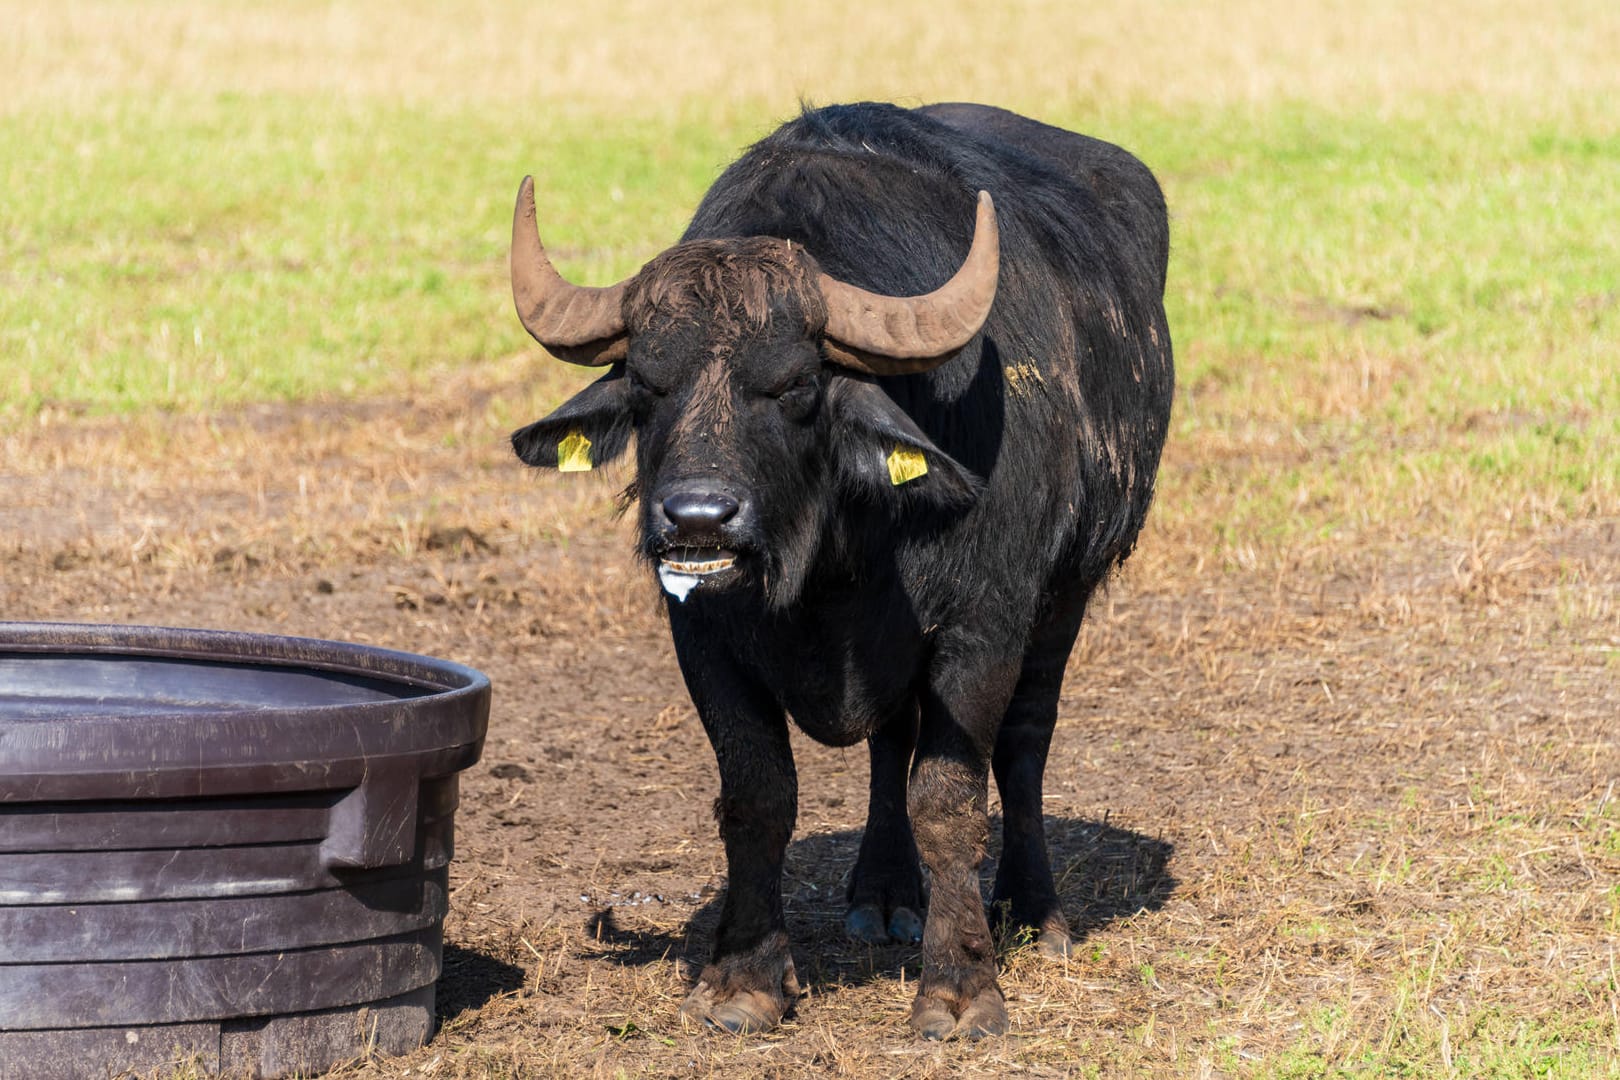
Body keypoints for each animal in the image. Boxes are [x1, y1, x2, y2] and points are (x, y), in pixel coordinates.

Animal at [505, 101, 1166, 1036]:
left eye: (794, 388)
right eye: (646, 387)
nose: (697, 519)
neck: (831, 567)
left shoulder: (982, 627)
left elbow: (950, 800)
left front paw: (960, 989)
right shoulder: (703, 638)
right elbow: (759, 796)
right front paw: (744, 979)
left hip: (1070, 588)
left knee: (1024, 746)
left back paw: (1036, 912)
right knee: (891, 742)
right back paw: (884, 895)